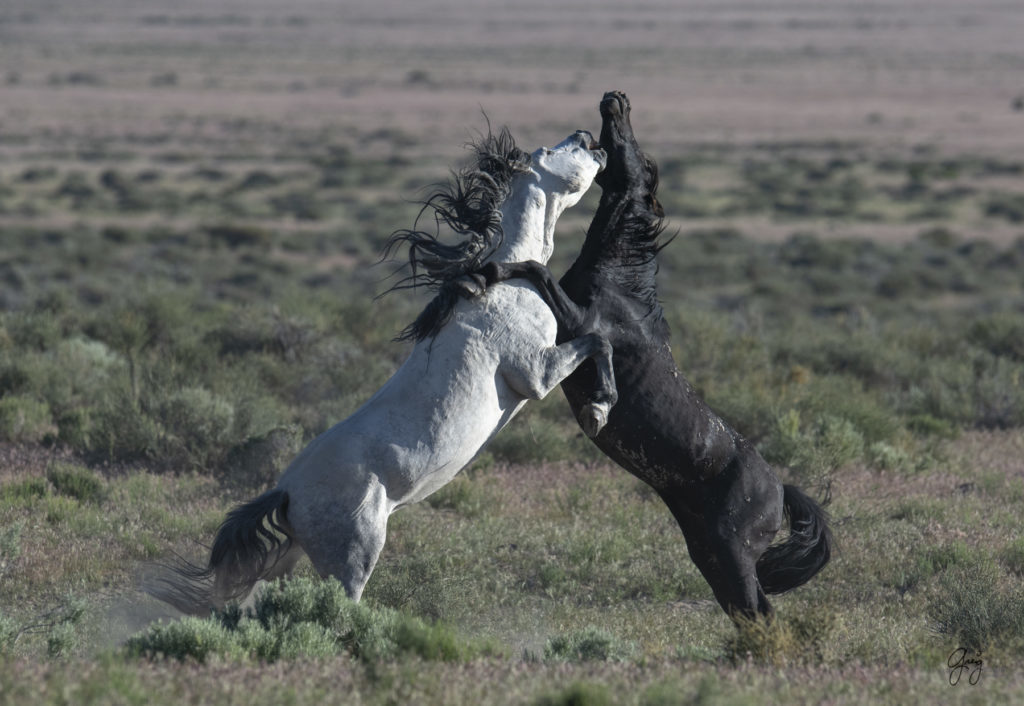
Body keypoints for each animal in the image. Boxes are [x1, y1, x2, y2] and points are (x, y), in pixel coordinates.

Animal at [146, 125, 614, 610]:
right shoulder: (535, 373)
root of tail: (287, 492)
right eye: (549, 151)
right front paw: (598, 410)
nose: (586, 136)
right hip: (354, 560)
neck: (504, 281)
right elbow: (599, 340)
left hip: (284, 562)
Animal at [468, 92, 827, 614]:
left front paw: (484, 274)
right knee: (750, 612)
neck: (620, 281)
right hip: (710, 555)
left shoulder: (578, 321)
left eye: (638, 154)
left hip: (730, 552)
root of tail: (780, 490)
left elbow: (536, 269)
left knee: (760, 613)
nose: (616, 100)